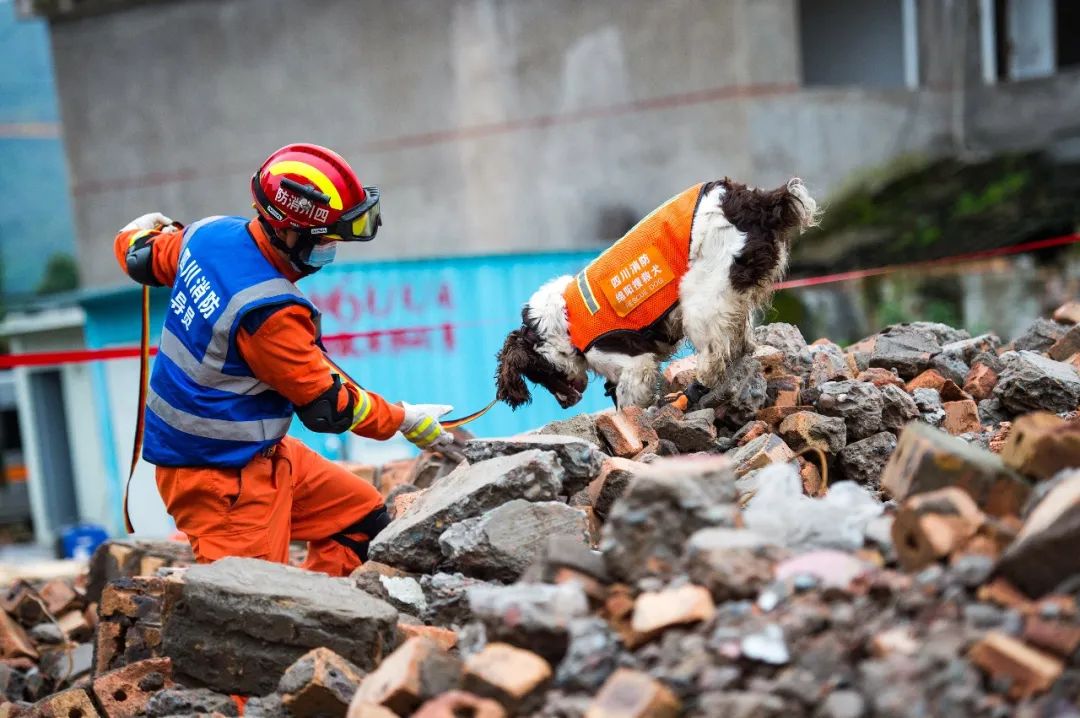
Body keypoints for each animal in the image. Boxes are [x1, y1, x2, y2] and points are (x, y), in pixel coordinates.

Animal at [494, 177, 816, 412]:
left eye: (537, 375)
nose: (565, 406)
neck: (562, 325)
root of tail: (755, 201)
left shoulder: (633, 364)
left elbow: (628, 402)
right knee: (739, 339)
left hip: (702, 294)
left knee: (714, 355)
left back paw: (694, 393)